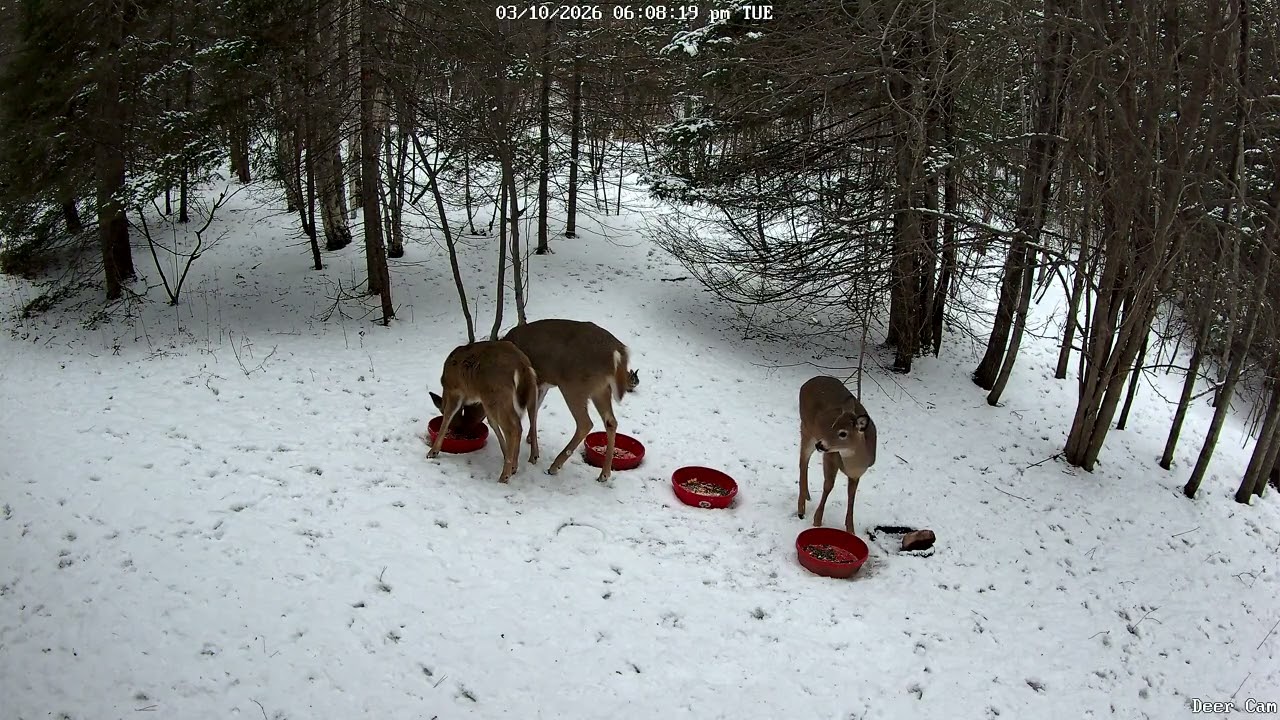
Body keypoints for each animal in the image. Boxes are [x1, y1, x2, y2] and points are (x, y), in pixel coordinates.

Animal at [426, 340, 539, 484]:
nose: (458, 431)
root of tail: (522, 365)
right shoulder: (482, 401)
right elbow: (492, 422)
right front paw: (505, 453)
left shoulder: (455, 390)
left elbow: (447, 415)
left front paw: (433, 452)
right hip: (530, 391)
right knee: (531, 419)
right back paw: (526, 460)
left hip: (496, 394)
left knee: (514, 427)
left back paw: (504, 476)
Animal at [797, 375, 877, 534]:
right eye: (833, 425)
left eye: (843, 433)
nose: (820, 444)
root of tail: (807, 383)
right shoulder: (830, 456)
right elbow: (828, 485)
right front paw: (817, 520)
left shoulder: (856, 474)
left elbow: (851, 496)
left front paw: (851, 529)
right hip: (807, 428)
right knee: (803, 461)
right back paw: (801, 508)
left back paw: (807, 496)